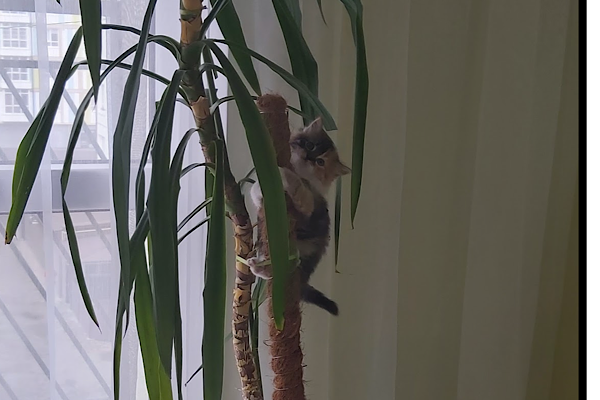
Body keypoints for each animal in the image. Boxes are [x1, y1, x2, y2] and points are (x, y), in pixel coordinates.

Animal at [249, 117, 350, 315]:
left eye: (320, 162)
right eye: (310, 145)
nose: (308, 158)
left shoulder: (308, 204)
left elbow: (296, 182)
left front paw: (283, 172)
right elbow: (255, 190)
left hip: (302, 249)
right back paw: (257, 265)